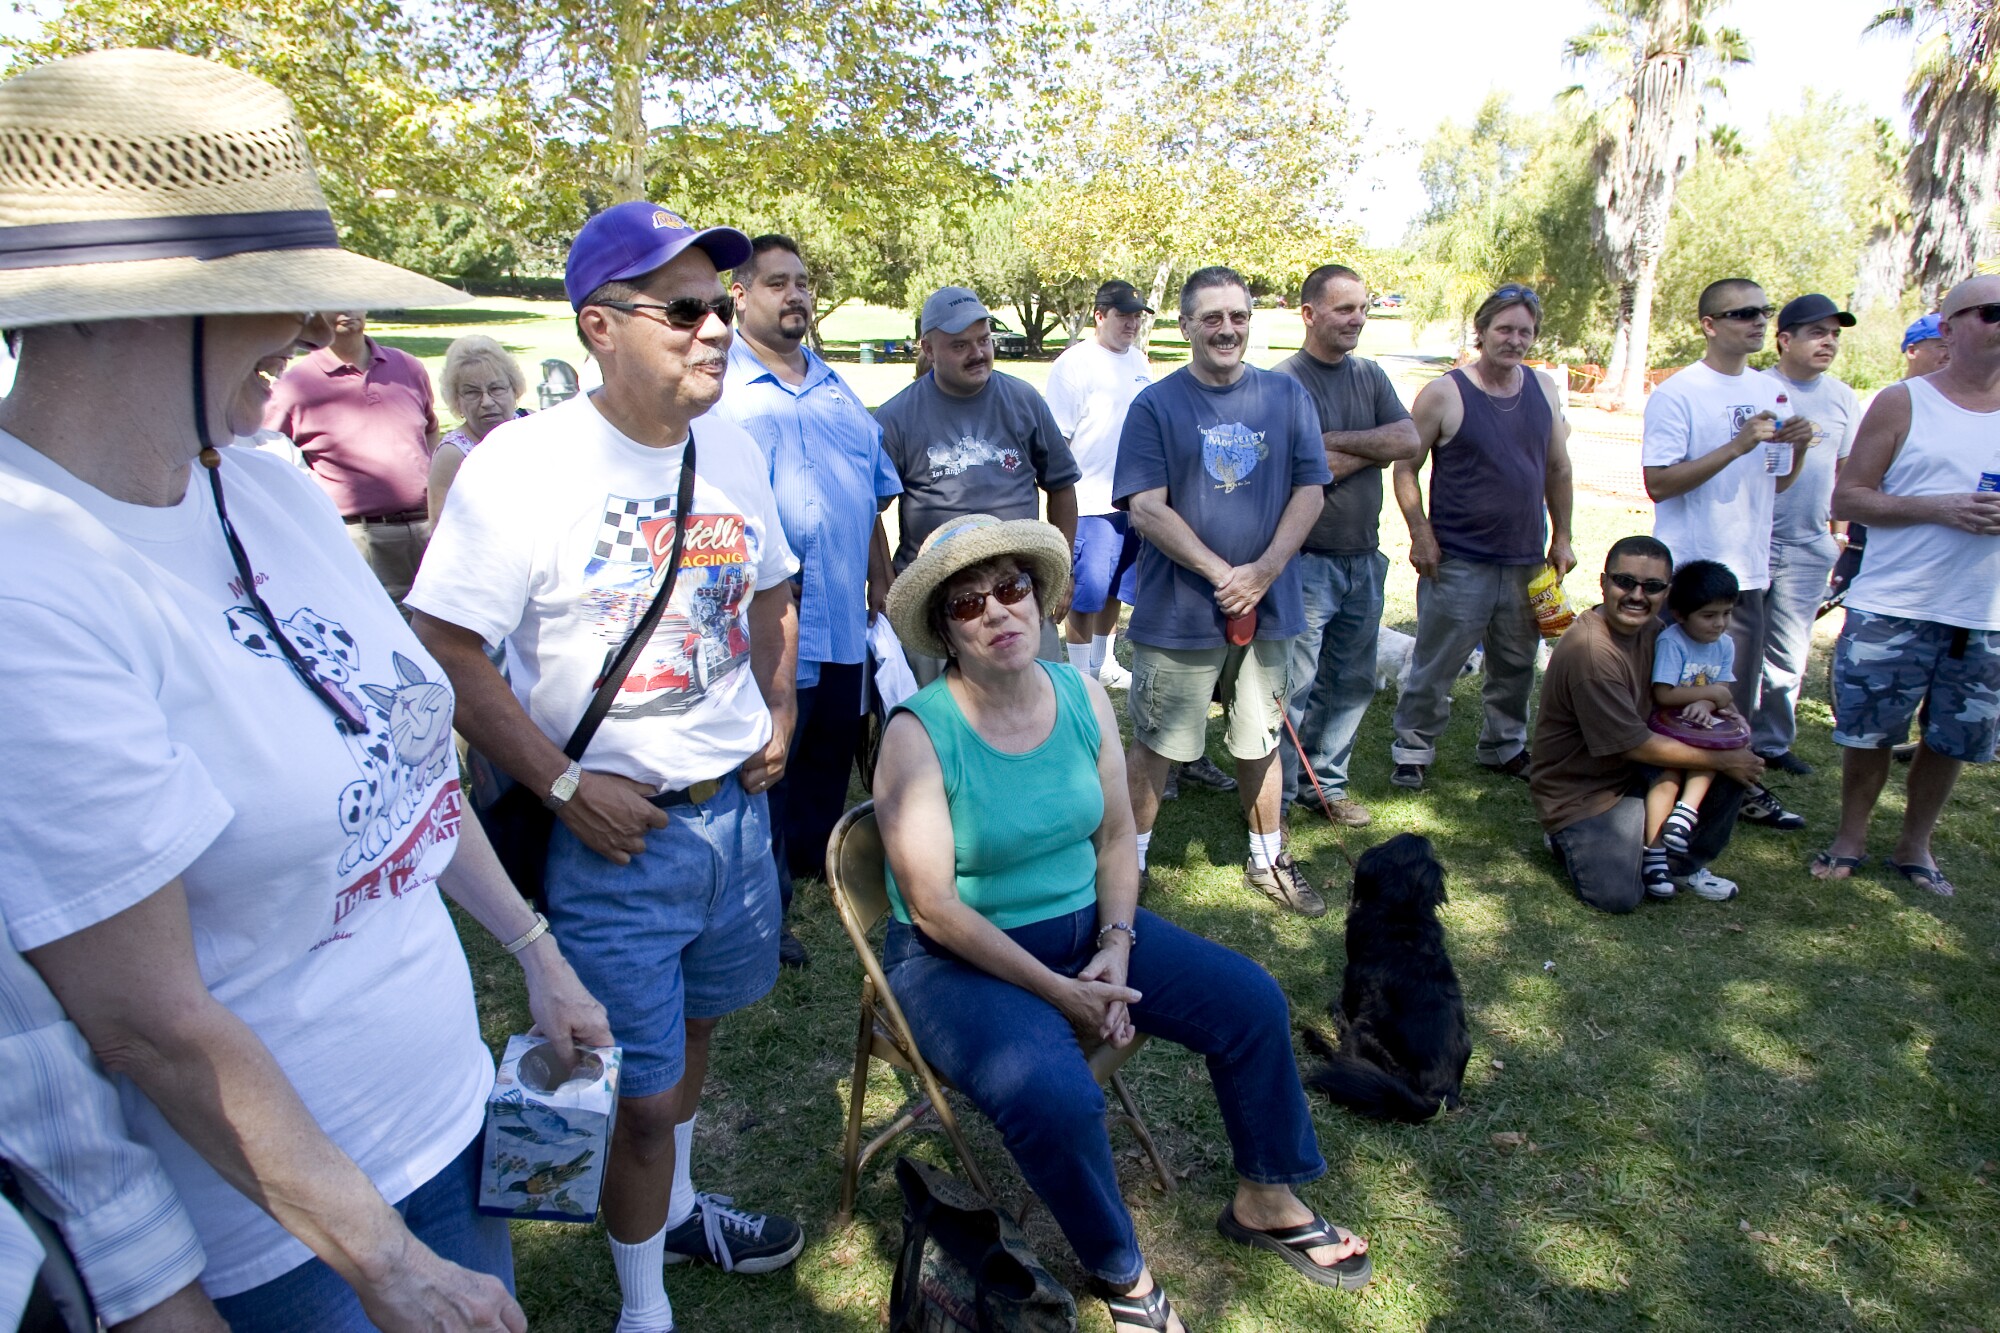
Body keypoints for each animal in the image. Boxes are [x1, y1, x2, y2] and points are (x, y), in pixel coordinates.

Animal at [1304, 836, 1480, 1112]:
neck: (1403, 910)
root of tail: (1440, 1094)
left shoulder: (1353, 977)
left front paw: (1337, 1011)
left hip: (1365, 1032)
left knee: (1346, 1060)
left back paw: (1318, 1037)